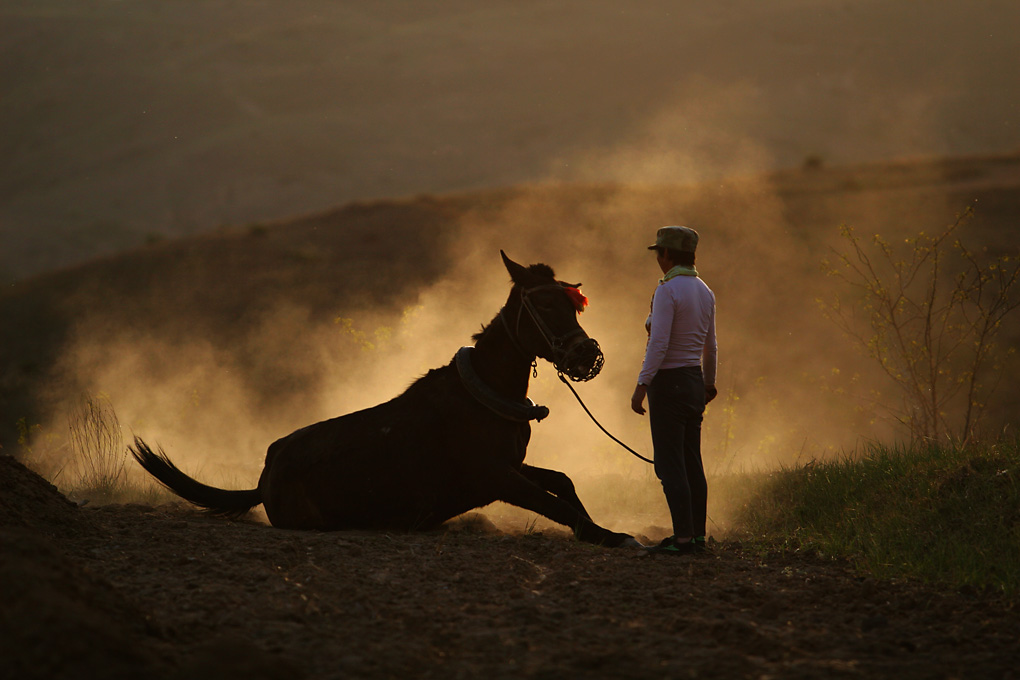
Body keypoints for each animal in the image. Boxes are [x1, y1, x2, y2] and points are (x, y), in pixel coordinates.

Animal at [127, 249, 636, 546]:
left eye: (572, 303)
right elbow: (557, 503)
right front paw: (607, 536)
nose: (587, 353)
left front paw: (604, 529)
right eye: (545, 304)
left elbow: (563, 482)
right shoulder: (495, 477)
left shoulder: (512, 466)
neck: (484, 393)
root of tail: (265, 473)